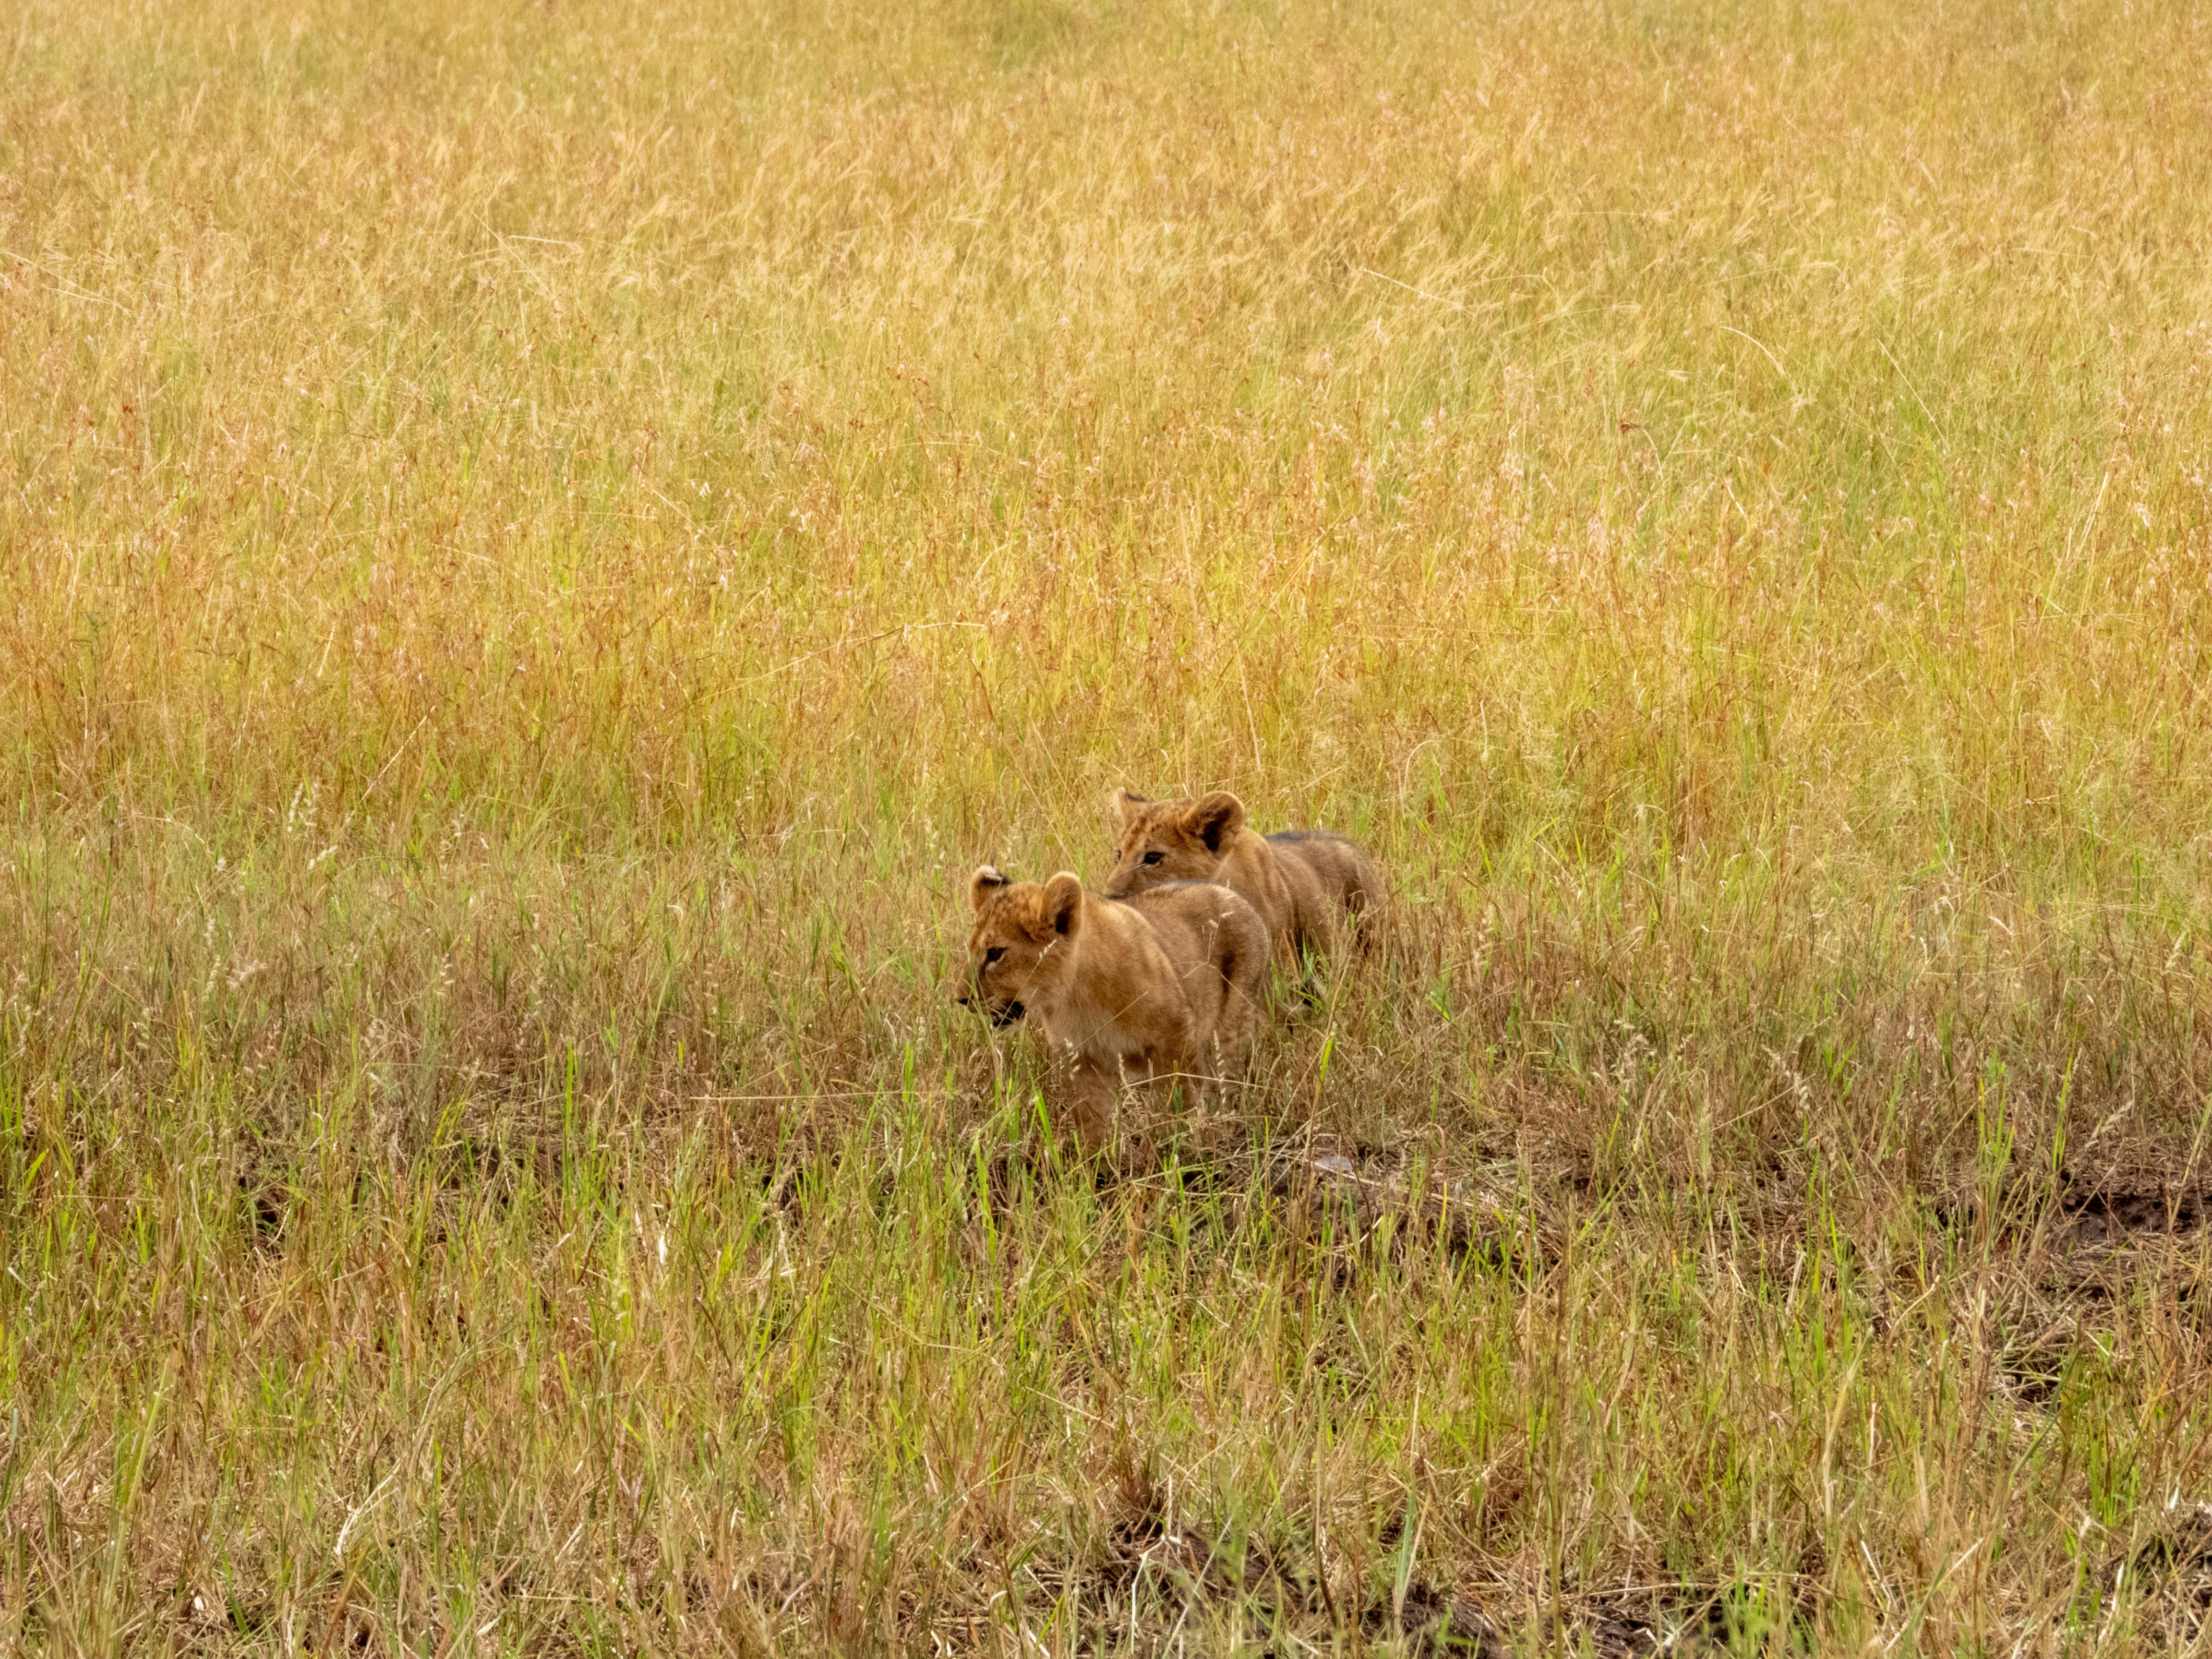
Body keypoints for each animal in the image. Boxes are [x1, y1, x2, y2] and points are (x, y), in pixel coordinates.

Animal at [956, 866, 1268, 1152]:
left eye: (996, 953)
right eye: (972, 950)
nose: (961, 999)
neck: (1078, 995)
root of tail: (1234, 896)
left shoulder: (1175, 1038)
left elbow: (1180, 1100)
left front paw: (1183, 1145)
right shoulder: (1081, 1058)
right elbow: (1092, 1122)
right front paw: (1097, 1167)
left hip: (1230, 1032)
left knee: (1226, 1084)